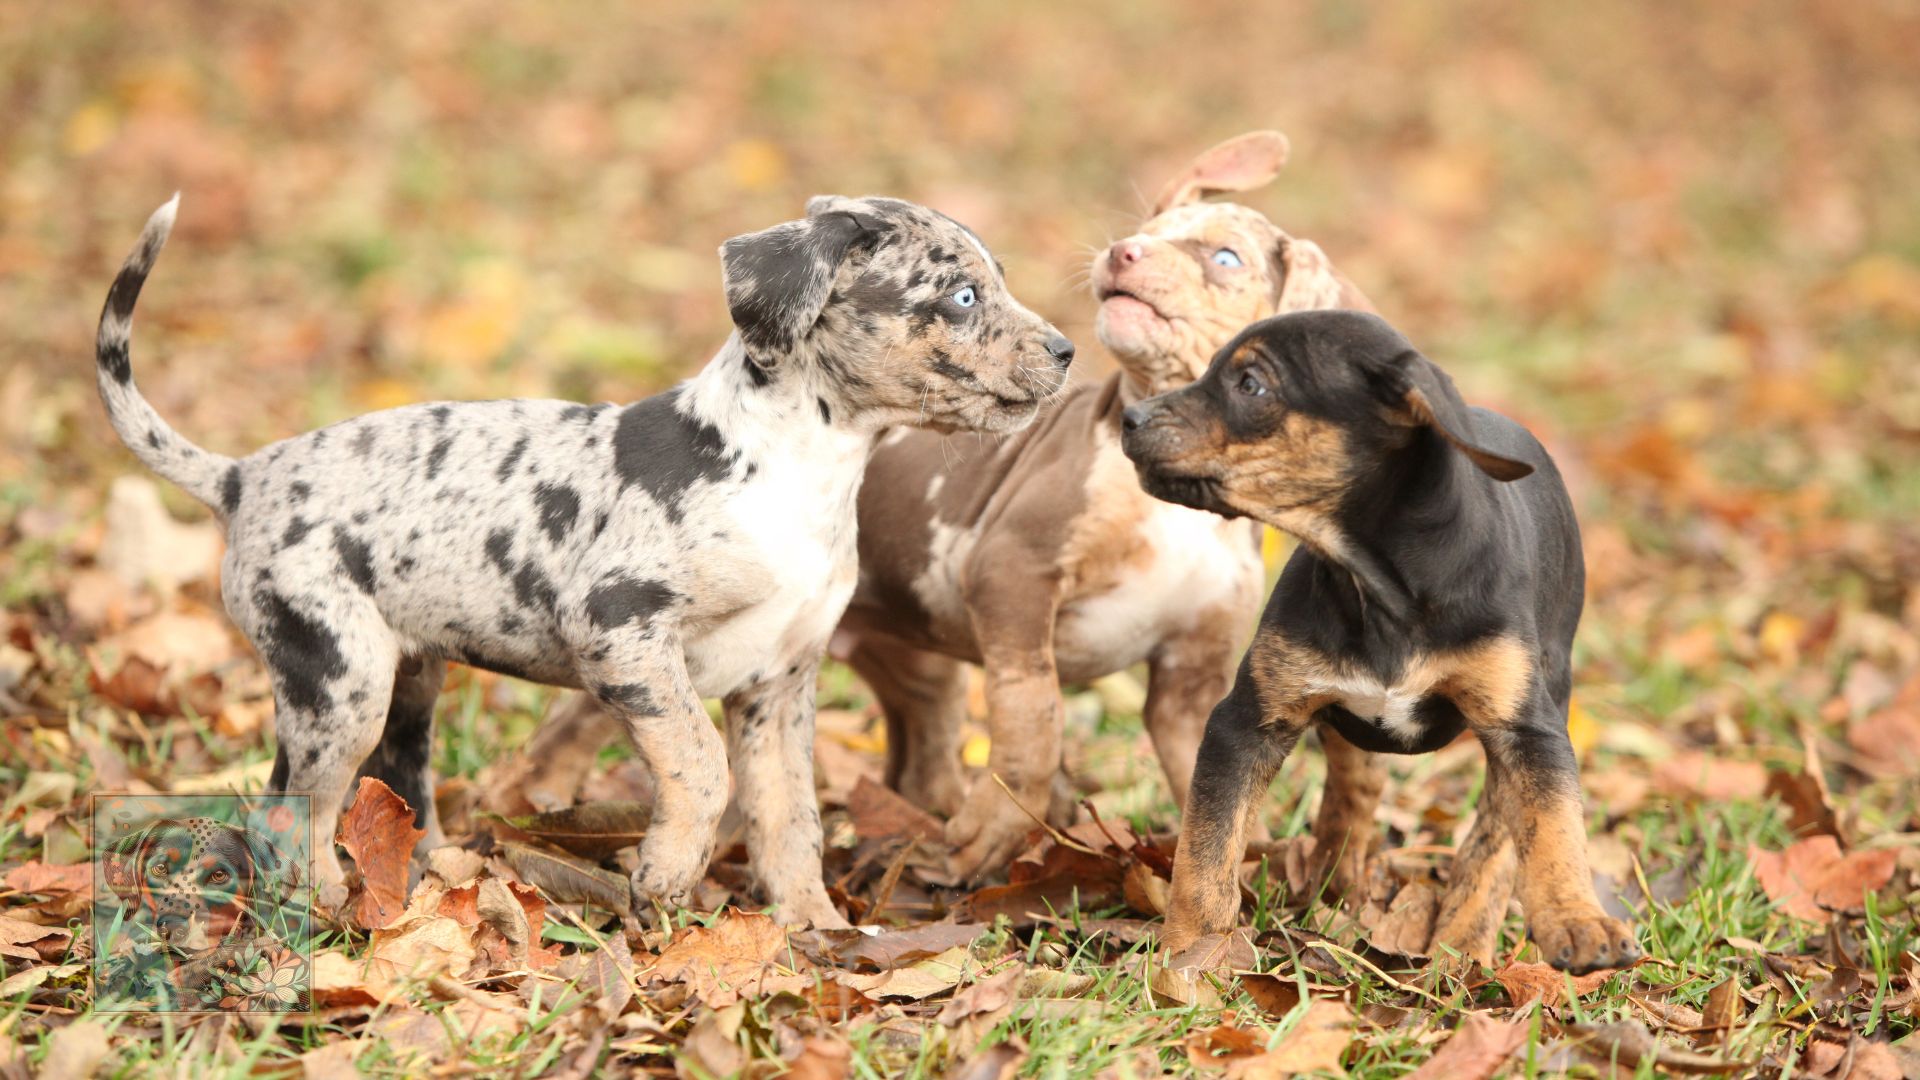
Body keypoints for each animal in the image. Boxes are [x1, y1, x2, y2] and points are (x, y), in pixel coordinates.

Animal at [97, 193, 1082, 926]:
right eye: (962, 297)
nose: (1069, 350)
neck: (796, 469)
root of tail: (242, 477)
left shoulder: (780, 685)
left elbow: (788, 818)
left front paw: (813, 930)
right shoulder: (622, 632)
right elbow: (701, 764)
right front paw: (665, 874)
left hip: (404, 681)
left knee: (374, 788)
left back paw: (426, 879)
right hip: (340, 679)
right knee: (289, 811)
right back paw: (330, 907)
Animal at [1128, 307, 1643, 972]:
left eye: (1251, 384)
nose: (1129, 417)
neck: (1380, 585)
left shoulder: (1530, 731)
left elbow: (1553, 829)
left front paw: (1578, 922)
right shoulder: (1245, 722)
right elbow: (1206, 848)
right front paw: (1190, 956)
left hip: (1545, 689)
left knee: (1493, 841)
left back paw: (1462, 948)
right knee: (1355, 782)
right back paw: (1334, 879)